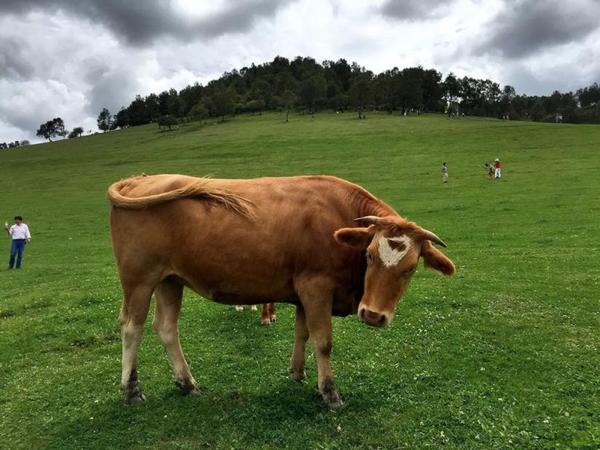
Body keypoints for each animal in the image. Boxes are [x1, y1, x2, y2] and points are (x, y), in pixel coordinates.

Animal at [108, 175, 454, 408]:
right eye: (369, 255)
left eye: (409, 268)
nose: (372, 315)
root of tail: (142, 180)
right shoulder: (316, 287)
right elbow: (323, 341)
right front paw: (329, 391)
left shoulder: (303, 292)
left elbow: (302, 332)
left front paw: (298, 373)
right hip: (139, 279)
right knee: (132, 327)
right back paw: (131, 389)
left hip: (170, 280)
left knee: (167, 328)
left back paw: (187, 383)